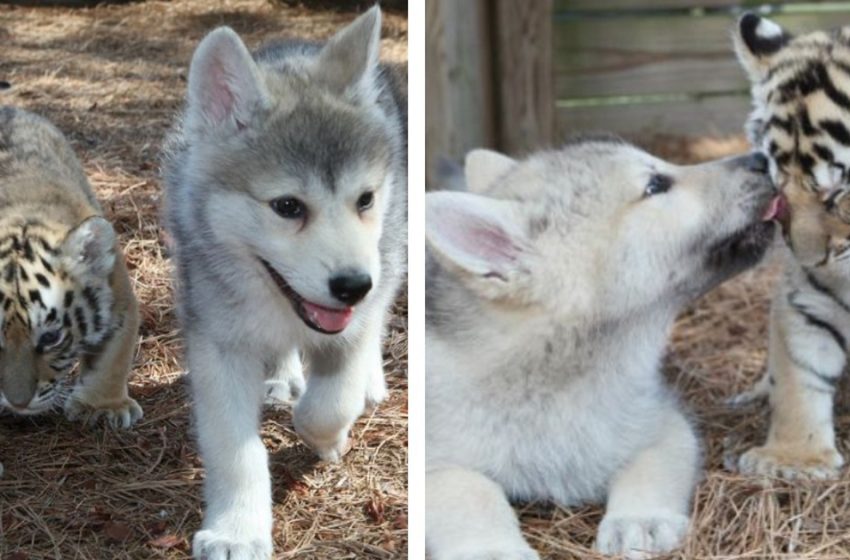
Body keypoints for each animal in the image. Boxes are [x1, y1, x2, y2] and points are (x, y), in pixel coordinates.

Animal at [165, 5, 408, 560]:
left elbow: (328, 402)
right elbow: (234, 448)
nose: (352, 286)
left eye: (364, 199)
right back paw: (281, 376)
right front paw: (237, 531)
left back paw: (371, 383)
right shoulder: (217, 343)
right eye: (287, 206)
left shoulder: (356, 317)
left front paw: (327, 438)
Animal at [428, 139, 780, 560]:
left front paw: (640, 521)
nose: (762, 157)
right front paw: (493, 550)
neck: (556, 384)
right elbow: (469, 492)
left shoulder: (663, 422)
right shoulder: (437, 459)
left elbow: (651, 466)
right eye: (655, 185)